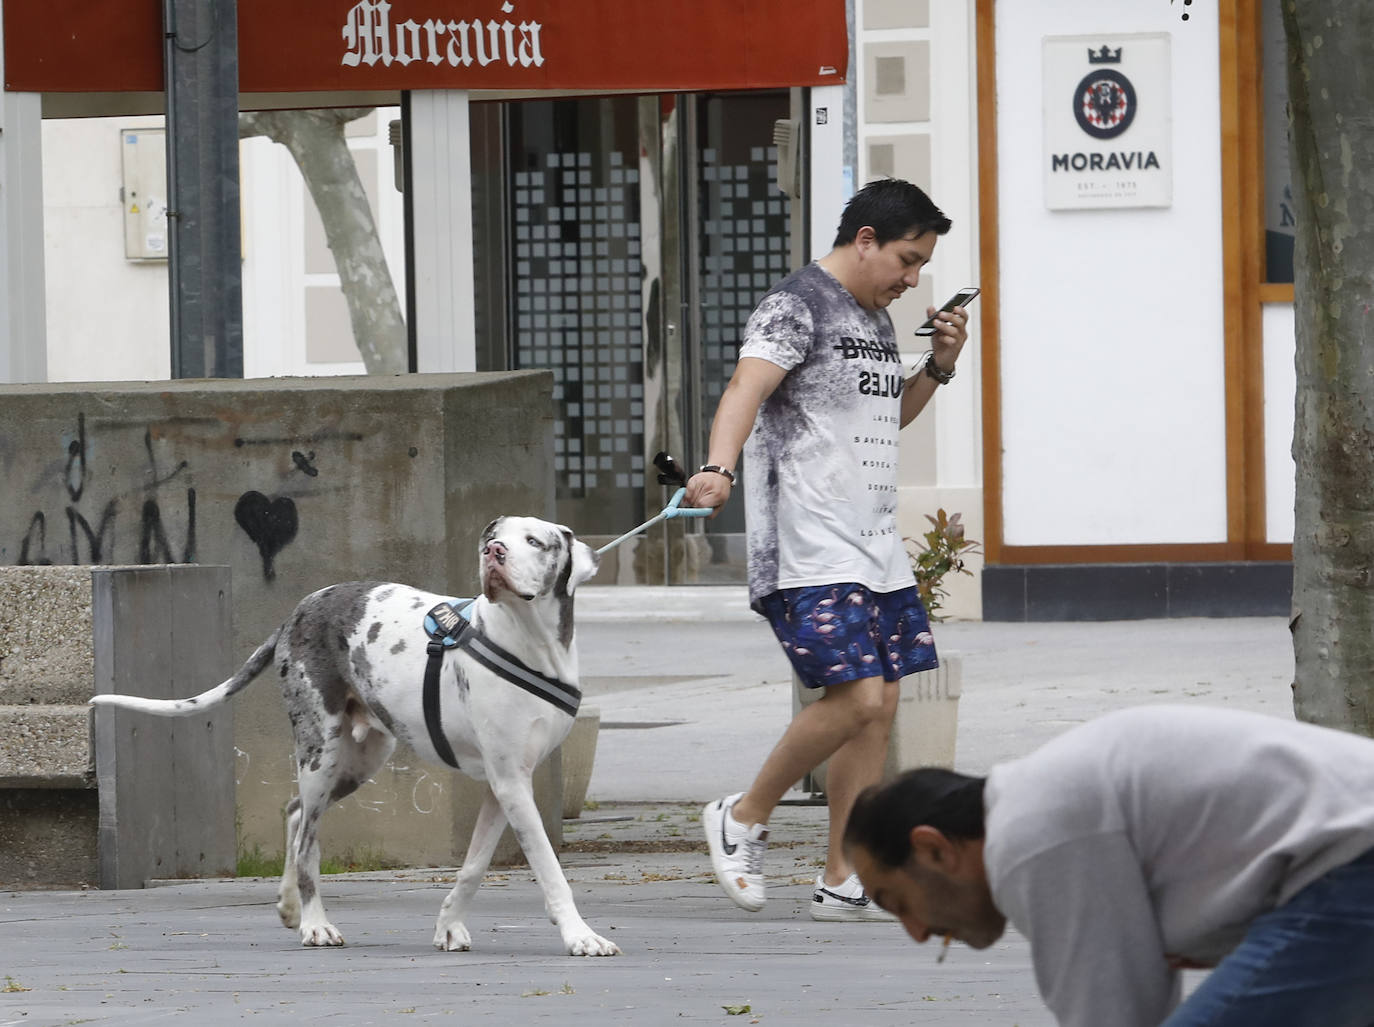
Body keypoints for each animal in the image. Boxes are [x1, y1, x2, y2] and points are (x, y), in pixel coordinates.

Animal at [88, 516, 621, 962]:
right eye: (494, 534)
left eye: (534, 540)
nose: (494, 551)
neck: (529, 643)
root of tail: (299, 609)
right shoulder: (511, 783)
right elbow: (550, 868)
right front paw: (580, 936)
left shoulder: (503, 784)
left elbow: (473, 866)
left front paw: (449, 926)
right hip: (321, 751)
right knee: (307, 841)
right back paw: (315, 924)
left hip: (361, 760)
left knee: (296, 813)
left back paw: (290, 906)